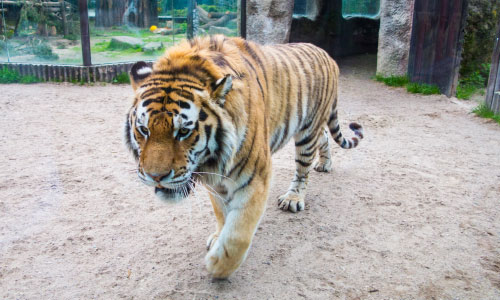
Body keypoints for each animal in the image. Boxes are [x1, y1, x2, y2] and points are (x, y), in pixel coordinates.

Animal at [125, 34, 364, 278]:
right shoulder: (216, 181)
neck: (212, 161)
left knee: (303, 168)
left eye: (184, 131)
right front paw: (217, 237)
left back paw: (293, 198)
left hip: (307, 132)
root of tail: (326, 54)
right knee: (324, 136)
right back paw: (325, 164)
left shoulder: (255, 177)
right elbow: (221, 213)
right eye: (144, 130)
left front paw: (218, 265)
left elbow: (239, 232)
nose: (156, 177)